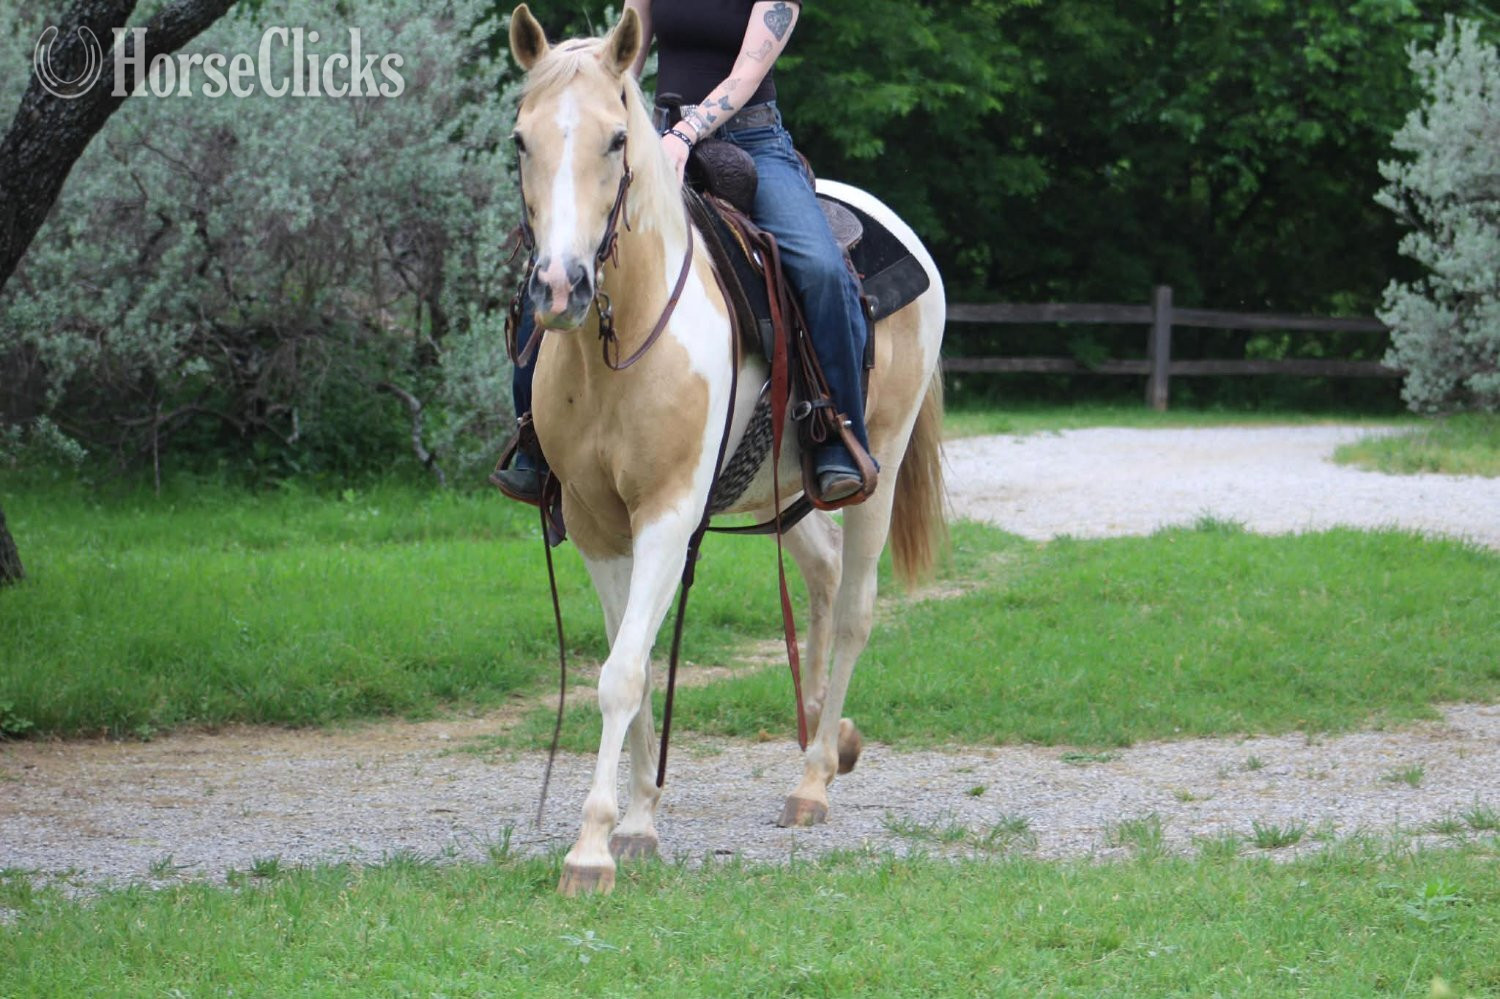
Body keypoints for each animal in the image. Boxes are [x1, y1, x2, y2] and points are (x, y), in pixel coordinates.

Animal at [507, 5, 947, 895]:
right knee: (820, 577)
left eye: (616, 139)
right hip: (785, 487)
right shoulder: (598, 524)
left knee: (854, 607)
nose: (560, 286)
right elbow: (632, 666)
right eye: (520, 140)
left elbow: (623, 672)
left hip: (876, 470)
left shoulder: (669, 515)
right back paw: (831, 739)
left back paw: (813, 779)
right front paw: (639, 819)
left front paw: (593, 847)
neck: (624, 338)